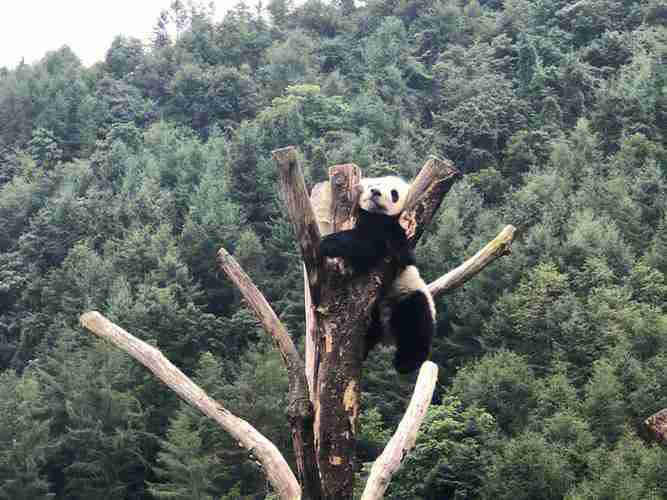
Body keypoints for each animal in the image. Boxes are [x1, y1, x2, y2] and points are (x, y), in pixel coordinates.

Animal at [320, 174, 436, 374]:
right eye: (375, 184)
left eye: (394, 193)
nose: (375, 192)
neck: (375, 215)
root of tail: (387, 331)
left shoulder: (390, 232)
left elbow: (369, 245)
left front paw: (327, 243)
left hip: (406, 293)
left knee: (416, 320)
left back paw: (406, 363)